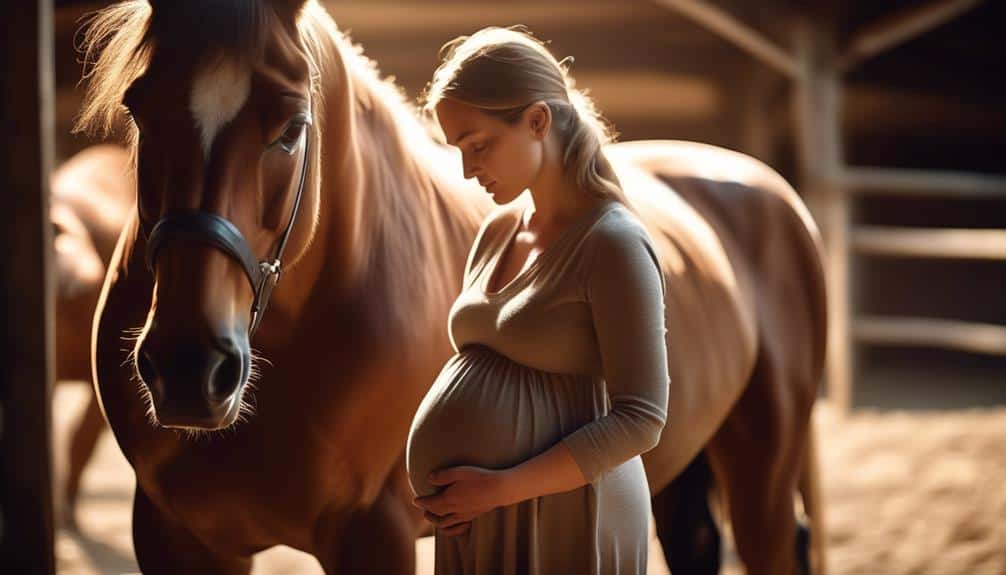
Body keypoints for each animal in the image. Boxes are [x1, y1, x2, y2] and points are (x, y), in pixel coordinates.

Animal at [78, 1, 826, 573]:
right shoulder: (178, 537)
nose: (188, 367)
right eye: (139, 109)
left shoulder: (374, 534)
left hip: (763, 469)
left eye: (291, 126)